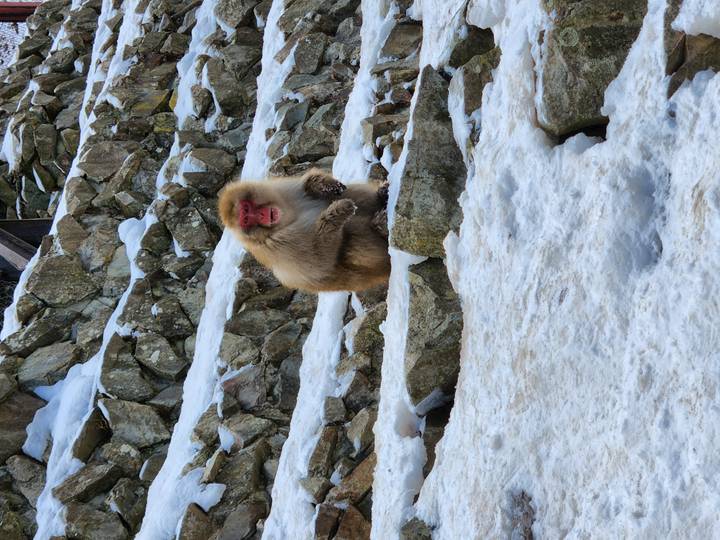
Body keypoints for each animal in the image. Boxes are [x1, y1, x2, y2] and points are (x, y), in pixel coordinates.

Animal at [218, 168, 391, 292]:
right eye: (246, 219)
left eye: (246, 208)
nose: (261, 215)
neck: (287, 217)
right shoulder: (277, 246)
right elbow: (321, 260)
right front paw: (337, 212)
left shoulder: (284, 190)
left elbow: (305, 186)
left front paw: (322, 185)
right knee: (353, 242)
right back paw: (380, 226)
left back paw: (382, 197)